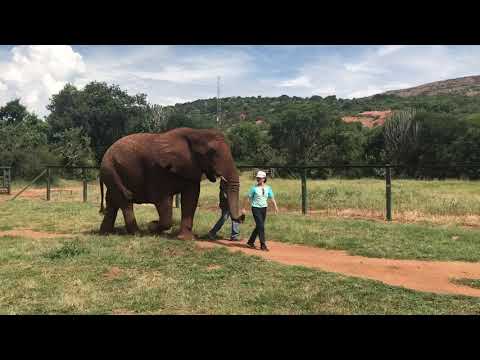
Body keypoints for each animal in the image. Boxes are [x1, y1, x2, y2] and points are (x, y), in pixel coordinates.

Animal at [99, 127, 246, 239]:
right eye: (211, 153)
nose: (243, 215)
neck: (196, 133)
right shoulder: (158, 170)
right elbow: (162, 200)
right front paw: (152, 226)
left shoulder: (191, 168)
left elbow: (191, 198)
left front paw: (185, 239)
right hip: (112, 171)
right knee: (125, 201)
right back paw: (137, 233)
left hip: (111, 174)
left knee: (113, 202)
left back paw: (105, 233)